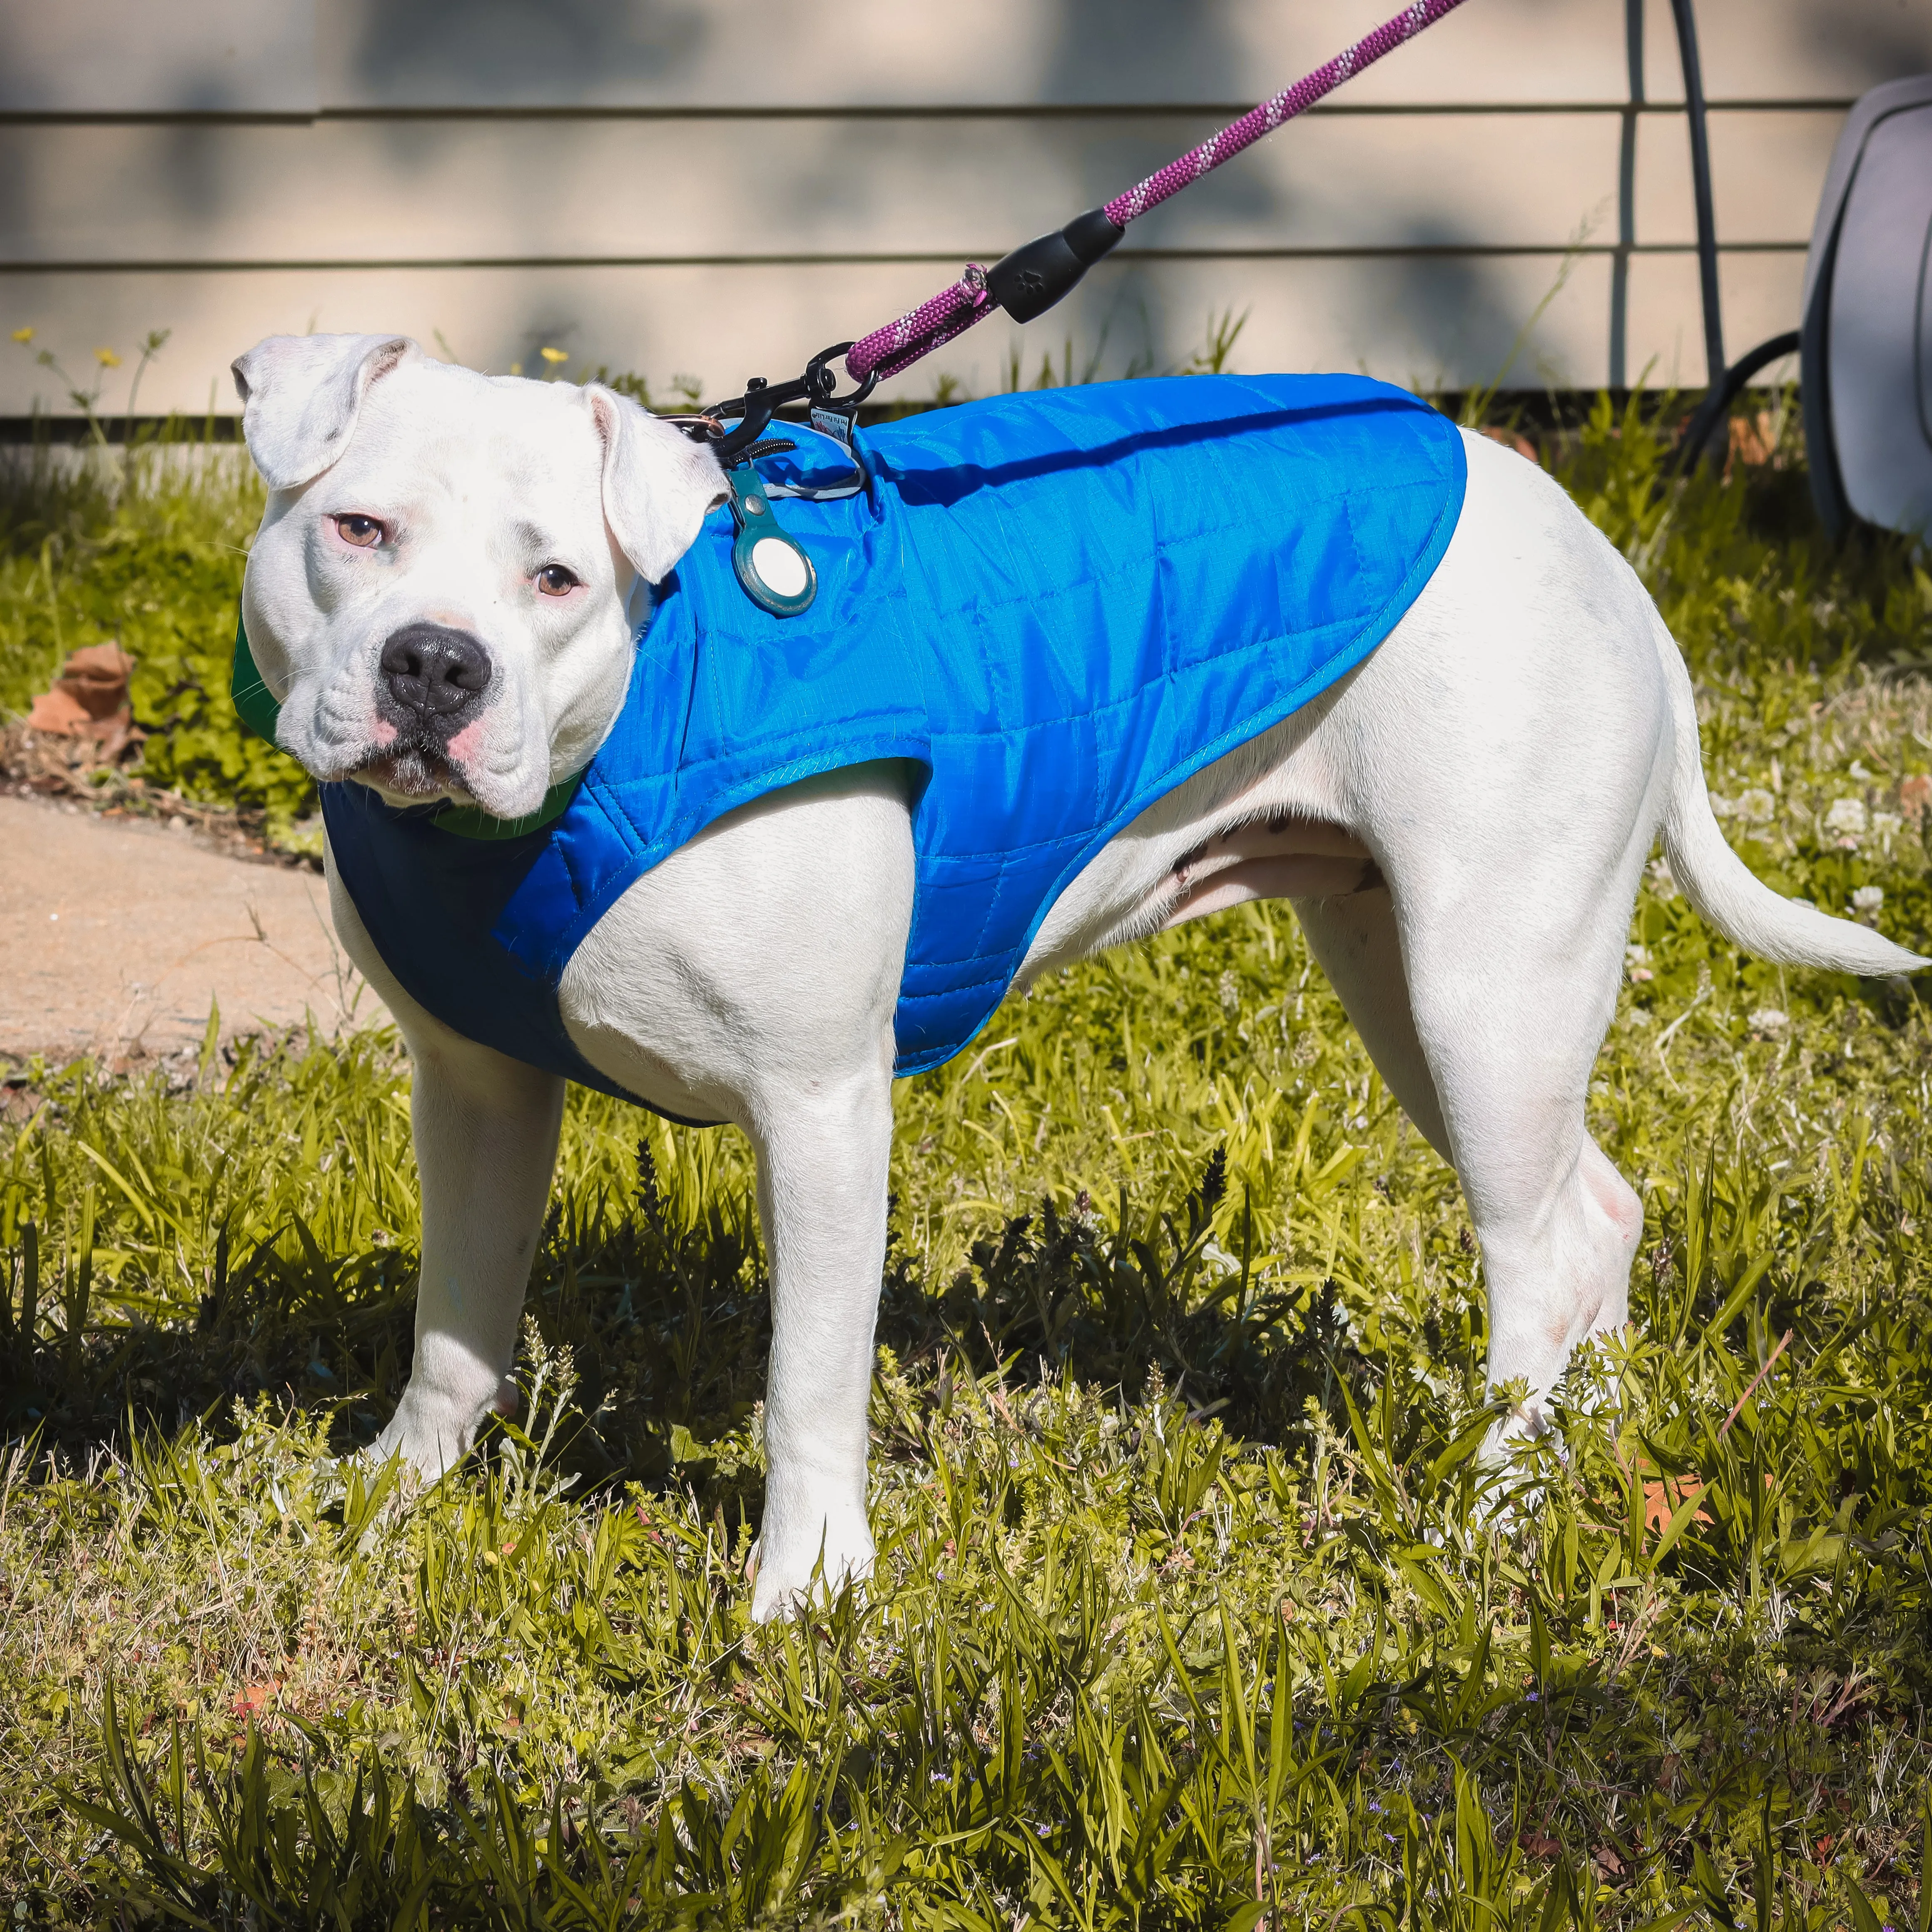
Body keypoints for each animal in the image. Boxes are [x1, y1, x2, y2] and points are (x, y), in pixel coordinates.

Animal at [234, 332, 1924, 1615]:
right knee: (1598, 1206)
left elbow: (807, 1379)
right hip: (1421, 984)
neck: (626, 728)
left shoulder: (818, 1106)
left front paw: (805, 1591)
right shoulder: (475, 1088)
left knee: (1540, 1255)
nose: (435, 665)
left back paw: (1497, 1509)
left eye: (557, 581)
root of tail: (1601, 553)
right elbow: (455, 1323)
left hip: (1482, 991)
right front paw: (396, 1494)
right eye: (359, 533)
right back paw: (1606, 1446)